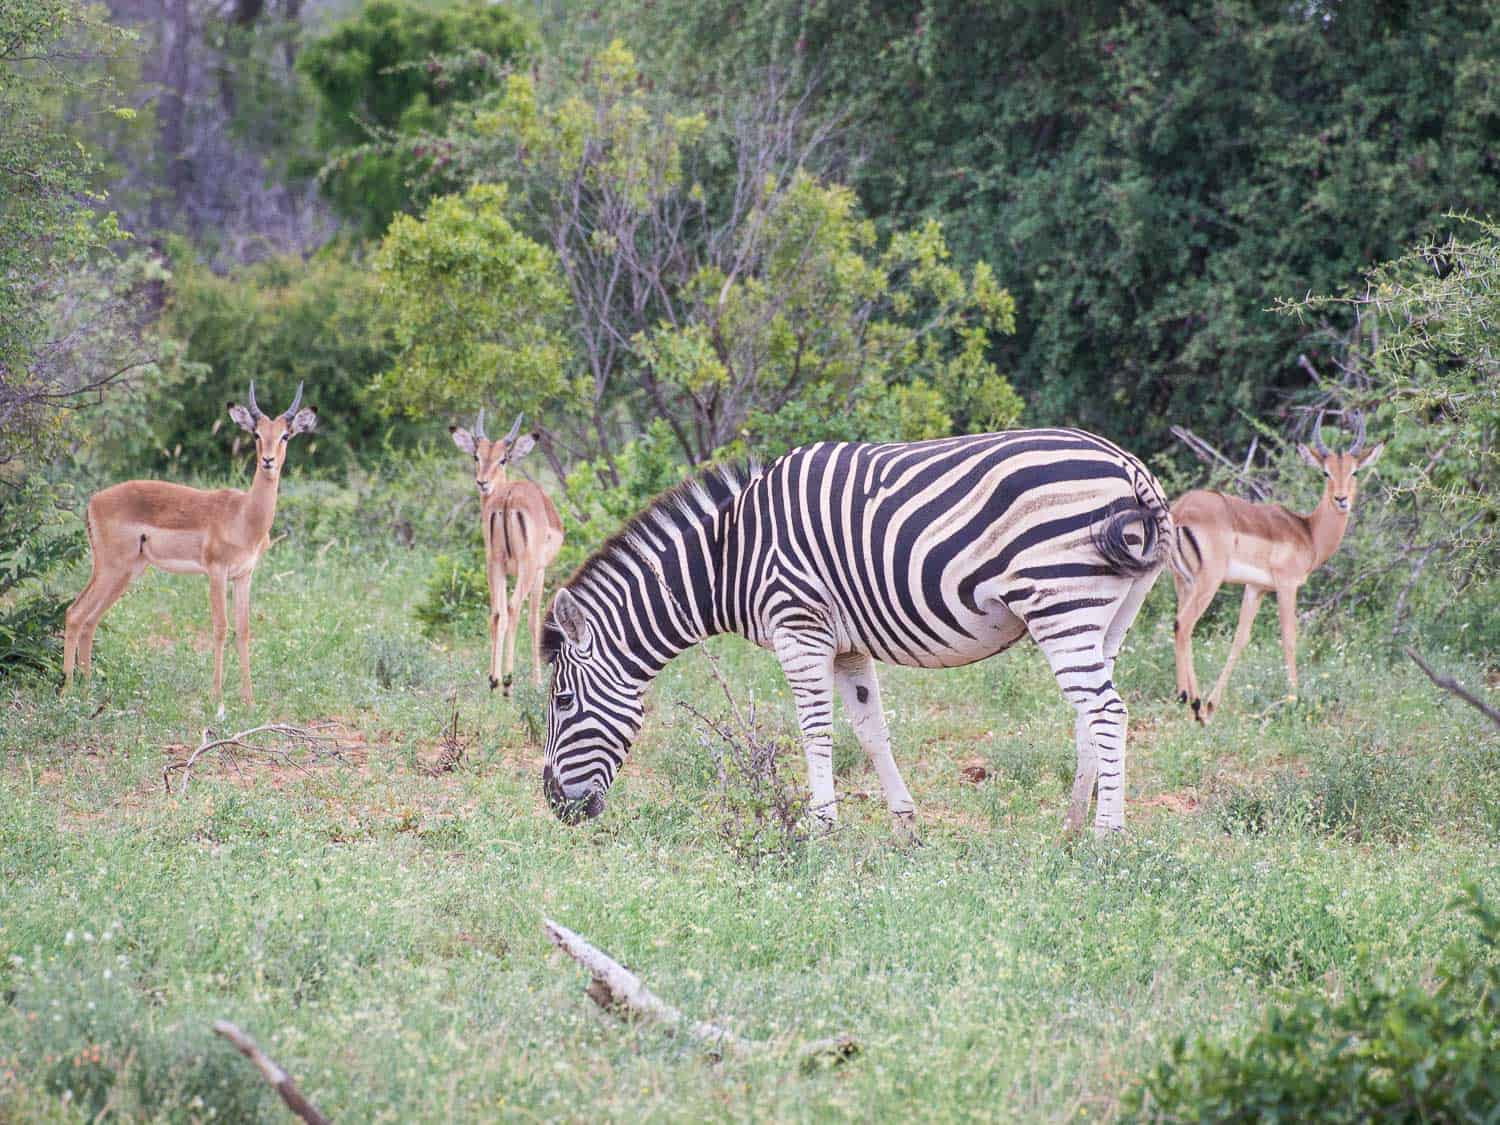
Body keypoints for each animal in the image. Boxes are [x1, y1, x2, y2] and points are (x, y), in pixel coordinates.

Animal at [540, 432, 1182, 840]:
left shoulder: (799, 627)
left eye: (562, 701)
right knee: (1088, 716)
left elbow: (815, 730)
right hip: (1110, 614)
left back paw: (1106, 837)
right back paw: (1070, 828)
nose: (553, 806)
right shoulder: (848, 645)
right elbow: (872, 732)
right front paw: (905, 825)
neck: (730, 557)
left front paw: (821, 826)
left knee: (1107, 713)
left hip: (1059, 601)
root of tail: (1131, 467)